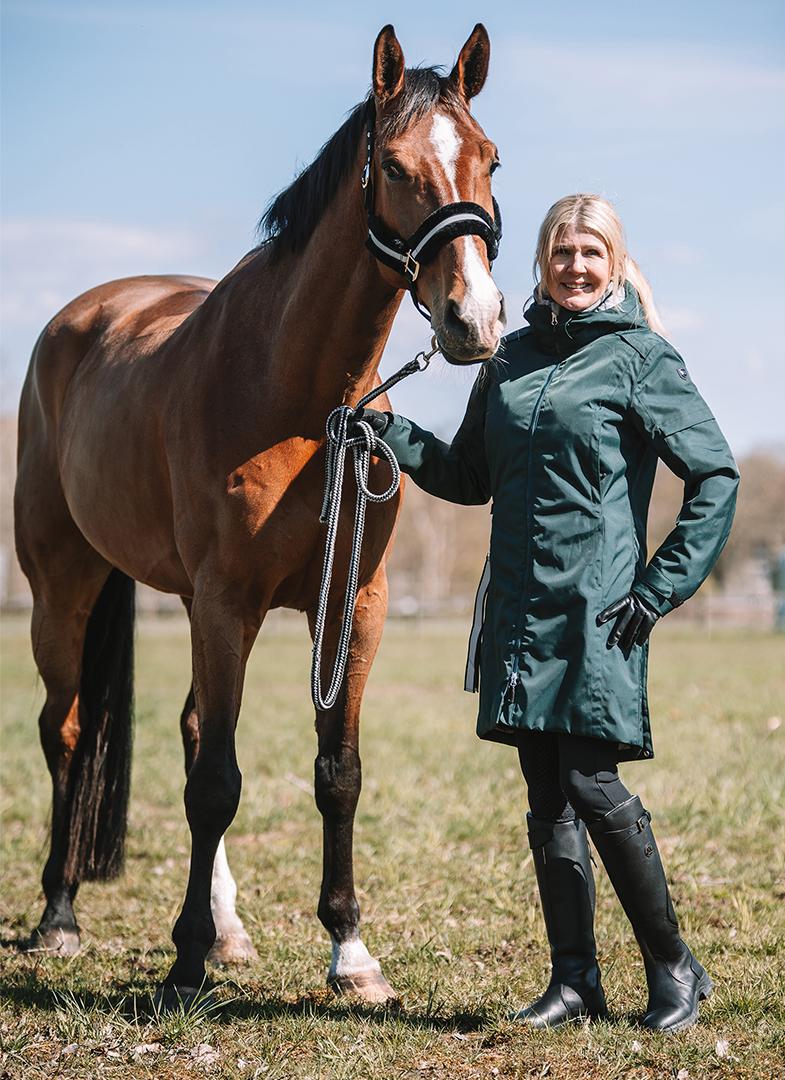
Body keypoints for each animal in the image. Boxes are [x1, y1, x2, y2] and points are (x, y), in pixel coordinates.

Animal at [14, 24, 505, 1006]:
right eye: (396, 167)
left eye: (491, 161)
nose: (474, 318)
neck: (303, 399)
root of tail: (79, 318)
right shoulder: (226, 601)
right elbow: (215, 784)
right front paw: (184, 961)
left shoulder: (351, 606)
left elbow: (336, 773)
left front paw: (350, 952)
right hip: (65, 587)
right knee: (69, 731)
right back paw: (59, 915)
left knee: (187, 729)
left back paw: (228, 926)